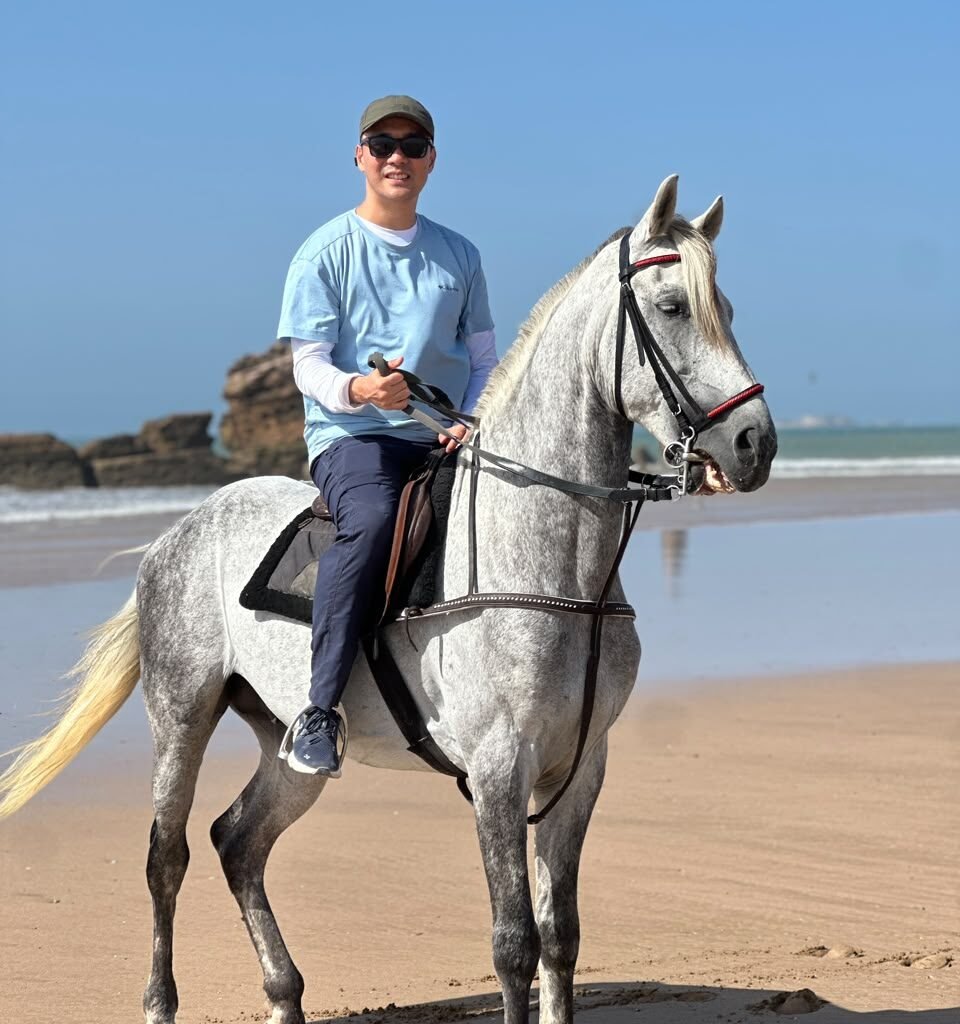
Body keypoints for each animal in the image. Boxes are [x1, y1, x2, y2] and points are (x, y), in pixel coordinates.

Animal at [0, 175, 777, 1024]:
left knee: (238, 841)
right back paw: (161, 1002)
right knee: (165, 856)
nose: (755, 444)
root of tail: (178, 533)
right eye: (671, 307)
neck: (552, 562)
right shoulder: (500, 768)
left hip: (286, 743)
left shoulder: (579, 767)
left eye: (725, 307)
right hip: (181, 716)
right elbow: (515, 943)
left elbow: (561, 937)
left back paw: (285, 994)